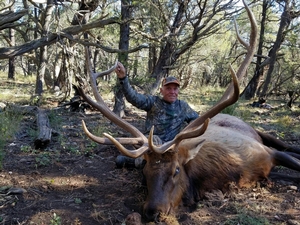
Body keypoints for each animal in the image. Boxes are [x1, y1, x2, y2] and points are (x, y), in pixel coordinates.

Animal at [78, 0, 300, 222]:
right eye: (145, 171)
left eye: (176, 170)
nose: (152, 212)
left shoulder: (268, 153)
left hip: (260, 133)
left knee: (287, 145)